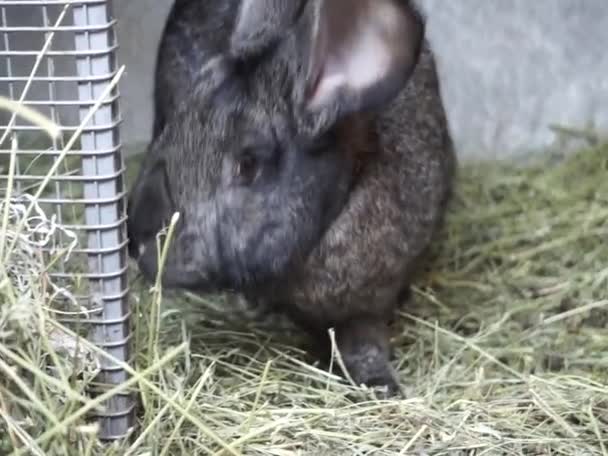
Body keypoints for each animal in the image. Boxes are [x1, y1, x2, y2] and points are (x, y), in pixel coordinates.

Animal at [128, 0, 454, 394]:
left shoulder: (371, 303)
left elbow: (364, 340)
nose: (137, 241)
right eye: (173, 127)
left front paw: (380, 384)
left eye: (249, 164)